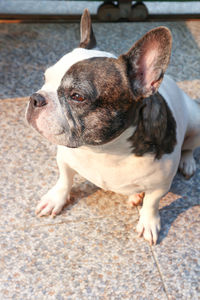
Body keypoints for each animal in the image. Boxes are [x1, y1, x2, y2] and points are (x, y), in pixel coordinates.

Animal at [26, 9, 200, 245]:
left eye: (77, 96)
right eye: (44, 78)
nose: (35, 98)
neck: (104, 150)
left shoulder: (161, 185)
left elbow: (152, 204)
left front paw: (148, 222)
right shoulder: (64, 157)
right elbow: (64, 179)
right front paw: (56, 199)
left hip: (196, 121)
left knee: (189, 147)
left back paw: (187, 162)